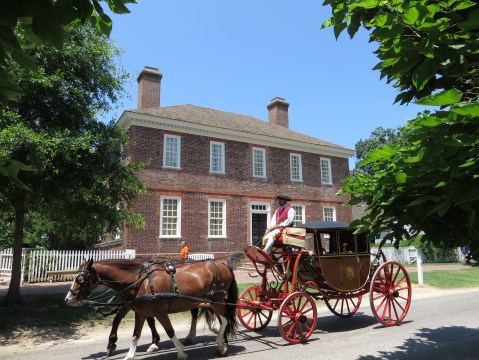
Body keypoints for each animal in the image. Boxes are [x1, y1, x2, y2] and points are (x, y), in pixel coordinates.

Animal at [65, 258, 238, 360]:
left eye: (81, 278)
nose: (68, 299)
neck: (139, 281)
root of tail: (222, 264)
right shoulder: (140, 312)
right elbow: (135, 335)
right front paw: (129, 355)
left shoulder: (160, 312)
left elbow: (170, 331)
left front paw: (181, 352)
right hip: (208, 302)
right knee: (221, 318)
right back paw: (221, 341)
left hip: (216, 300)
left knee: (225, 318)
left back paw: (221, 343)